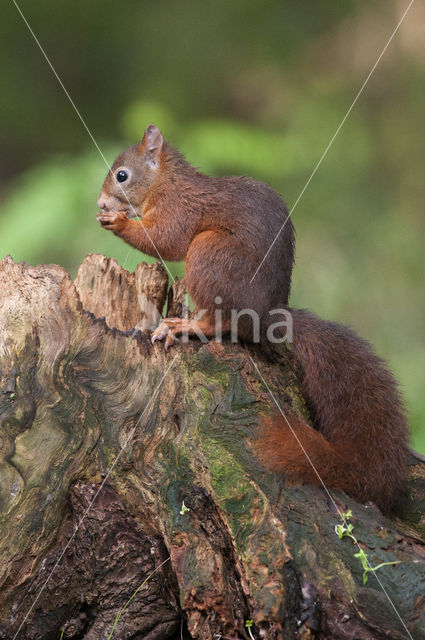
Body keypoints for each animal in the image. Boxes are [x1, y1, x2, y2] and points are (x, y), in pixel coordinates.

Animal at [96, 124, 408, 516]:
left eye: (122, 175)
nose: (100, 203)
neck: (166, 183)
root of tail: (267, 314)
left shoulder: (178, 210)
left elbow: (165, 240)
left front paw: (119, 221)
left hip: (209, 253)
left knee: (218, 323)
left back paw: (183, 326)